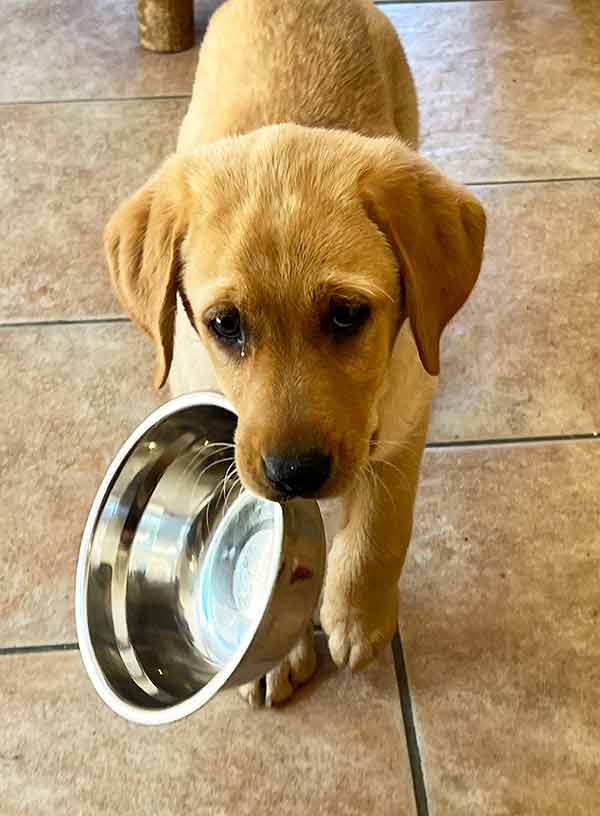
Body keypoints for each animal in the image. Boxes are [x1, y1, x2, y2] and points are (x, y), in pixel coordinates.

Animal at [105, 0, 486, 704]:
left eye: (347, 314)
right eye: (224, 324)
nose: (295, 473)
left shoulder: (404, 415)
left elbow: (381, 530)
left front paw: (358, 617)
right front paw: (273, 652)